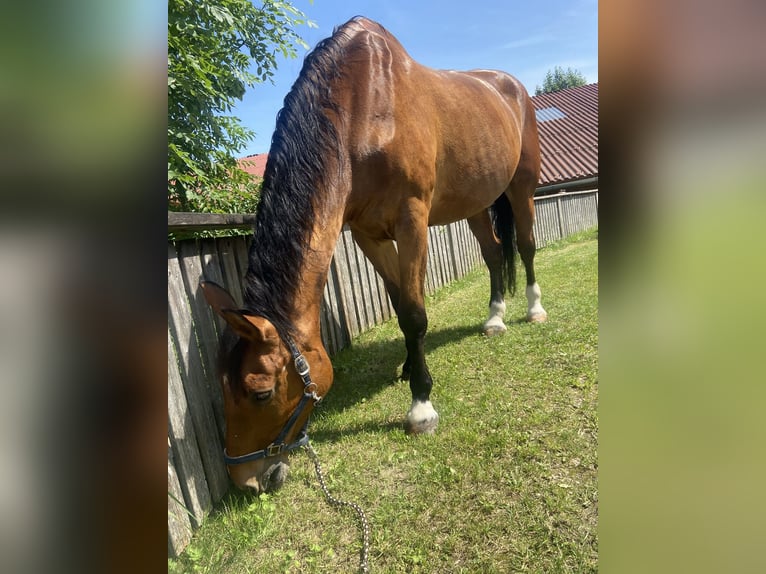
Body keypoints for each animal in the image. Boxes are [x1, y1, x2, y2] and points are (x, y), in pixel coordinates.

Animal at [200, 18, 544, 496]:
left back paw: (533, 309)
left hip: (522, 186)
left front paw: (421, 405)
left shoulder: (412, 220)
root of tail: (511, 87)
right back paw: (494, 319)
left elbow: (415, 313)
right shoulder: (366, 234)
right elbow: (400, 304)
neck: (363, 111)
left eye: (261, 392)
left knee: (526, 247)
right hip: (476, 202)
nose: (245, 480)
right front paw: (409, 366)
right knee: (494, 255)